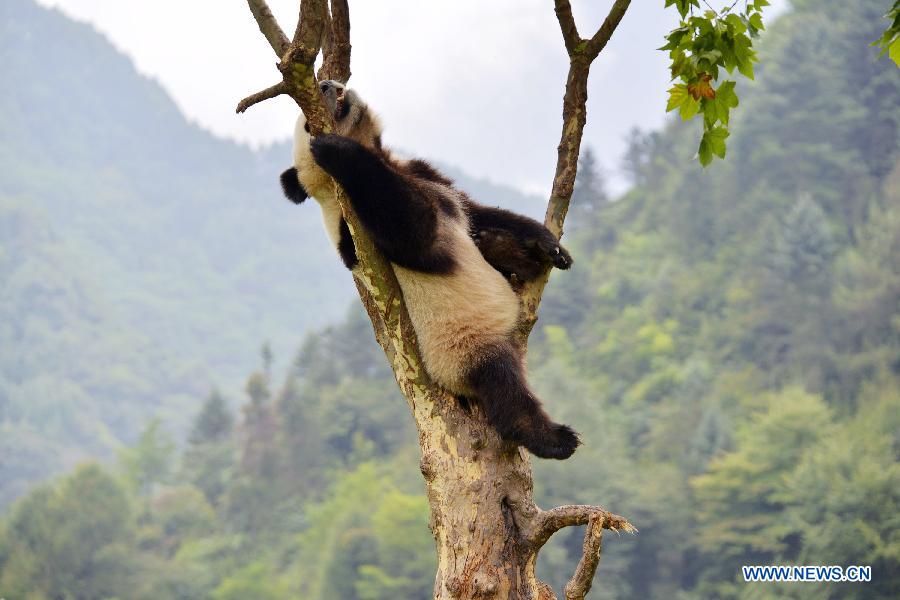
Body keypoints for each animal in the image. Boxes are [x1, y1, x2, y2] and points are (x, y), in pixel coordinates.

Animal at [278, 81, 580, 460]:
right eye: (306, 125)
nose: (326, 84)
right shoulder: (353, 226)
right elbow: (414, 233)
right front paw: (336, 149)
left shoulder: (423, 173)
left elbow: (476, 213)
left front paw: (546, 246)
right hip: (461, 345)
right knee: (501, 382)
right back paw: (553, 437)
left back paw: (522, 260)